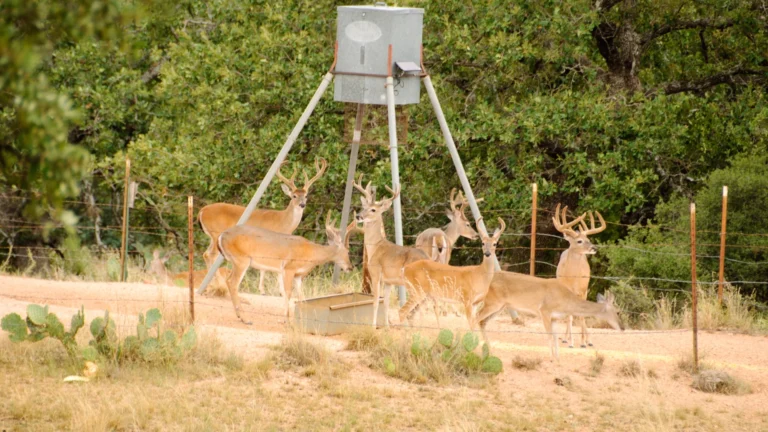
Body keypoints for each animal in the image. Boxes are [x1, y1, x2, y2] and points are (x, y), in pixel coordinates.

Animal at [198, 157, 327, 296]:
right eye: (294, 196)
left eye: (306, 195)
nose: (302, 204)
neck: (283, 222)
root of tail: (201, 211)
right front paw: (268, 290)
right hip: (216, 233)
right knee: (210, 255)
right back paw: (218, 285)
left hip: (213, 237)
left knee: (205, 254)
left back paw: (211, 285)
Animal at [217, 211, 356, 324]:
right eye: (347, 251)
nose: (350, 267)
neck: (311, 253)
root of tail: (221, 236)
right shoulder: (289, 268)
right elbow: (288, 293)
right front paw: (286, 320)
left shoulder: (298, 275)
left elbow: (301, 297)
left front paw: (301, 319)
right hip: (242, 260)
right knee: (233, 283)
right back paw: (245, 319)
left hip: (236, 261)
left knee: (228, 280)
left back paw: (240, 316)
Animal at [353, 176, 432, 328]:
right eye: (363, 207)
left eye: (373, 210)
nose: (358, 216)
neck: (375, 247)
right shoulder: (389, 281)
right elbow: (386, 303)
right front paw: (387, 326)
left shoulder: (376, 273)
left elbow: (375, 302)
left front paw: (373, 326)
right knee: (424, 306)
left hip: (413, 283)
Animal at [476, 271, 623, 360]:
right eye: (618, 311)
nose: (623, 327)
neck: (566, 300)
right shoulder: (544, 311)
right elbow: (549, 336)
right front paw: (551, 357)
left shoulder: (554, 318)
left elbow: (556, 336)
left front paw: (557, 358)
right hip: (493, 302)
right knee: (476, 317)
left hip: (500, 306)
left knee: (482, 321)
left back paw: (490, 350)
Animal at [551, 203, 607, 348]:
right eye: (580, 241)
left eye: (588, 239)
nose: (594, 248)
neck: (573, 278)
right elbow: (570, 316)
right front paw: (571, 342)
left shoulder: (583, 290)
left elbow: (581, 315)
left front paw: (583, 342)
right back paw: (565, 338)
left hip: (585, 290)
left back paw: (588, 340)